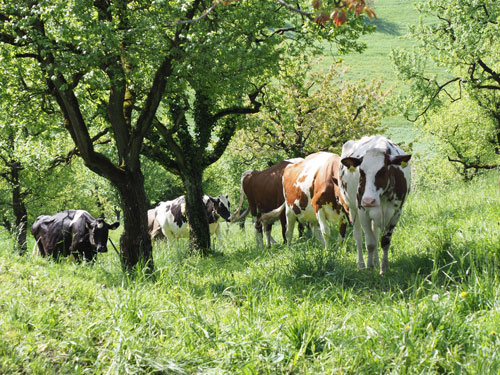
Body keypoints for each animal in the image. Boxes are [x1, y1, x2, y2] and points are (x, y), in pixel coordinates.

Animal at [338, 136, 412, 276]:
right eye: (361, 172)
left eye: (382, 171)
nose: (368, 201)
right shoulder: (363, 212)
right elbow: (370, 243)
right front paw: (369, 267)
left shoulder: (396, 213)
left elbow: (384, 242)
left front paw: (383, 269)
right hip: (352, 209)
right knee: (358, 236)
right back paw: (361, 264)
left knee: (376, 233)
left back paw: (376, 261)